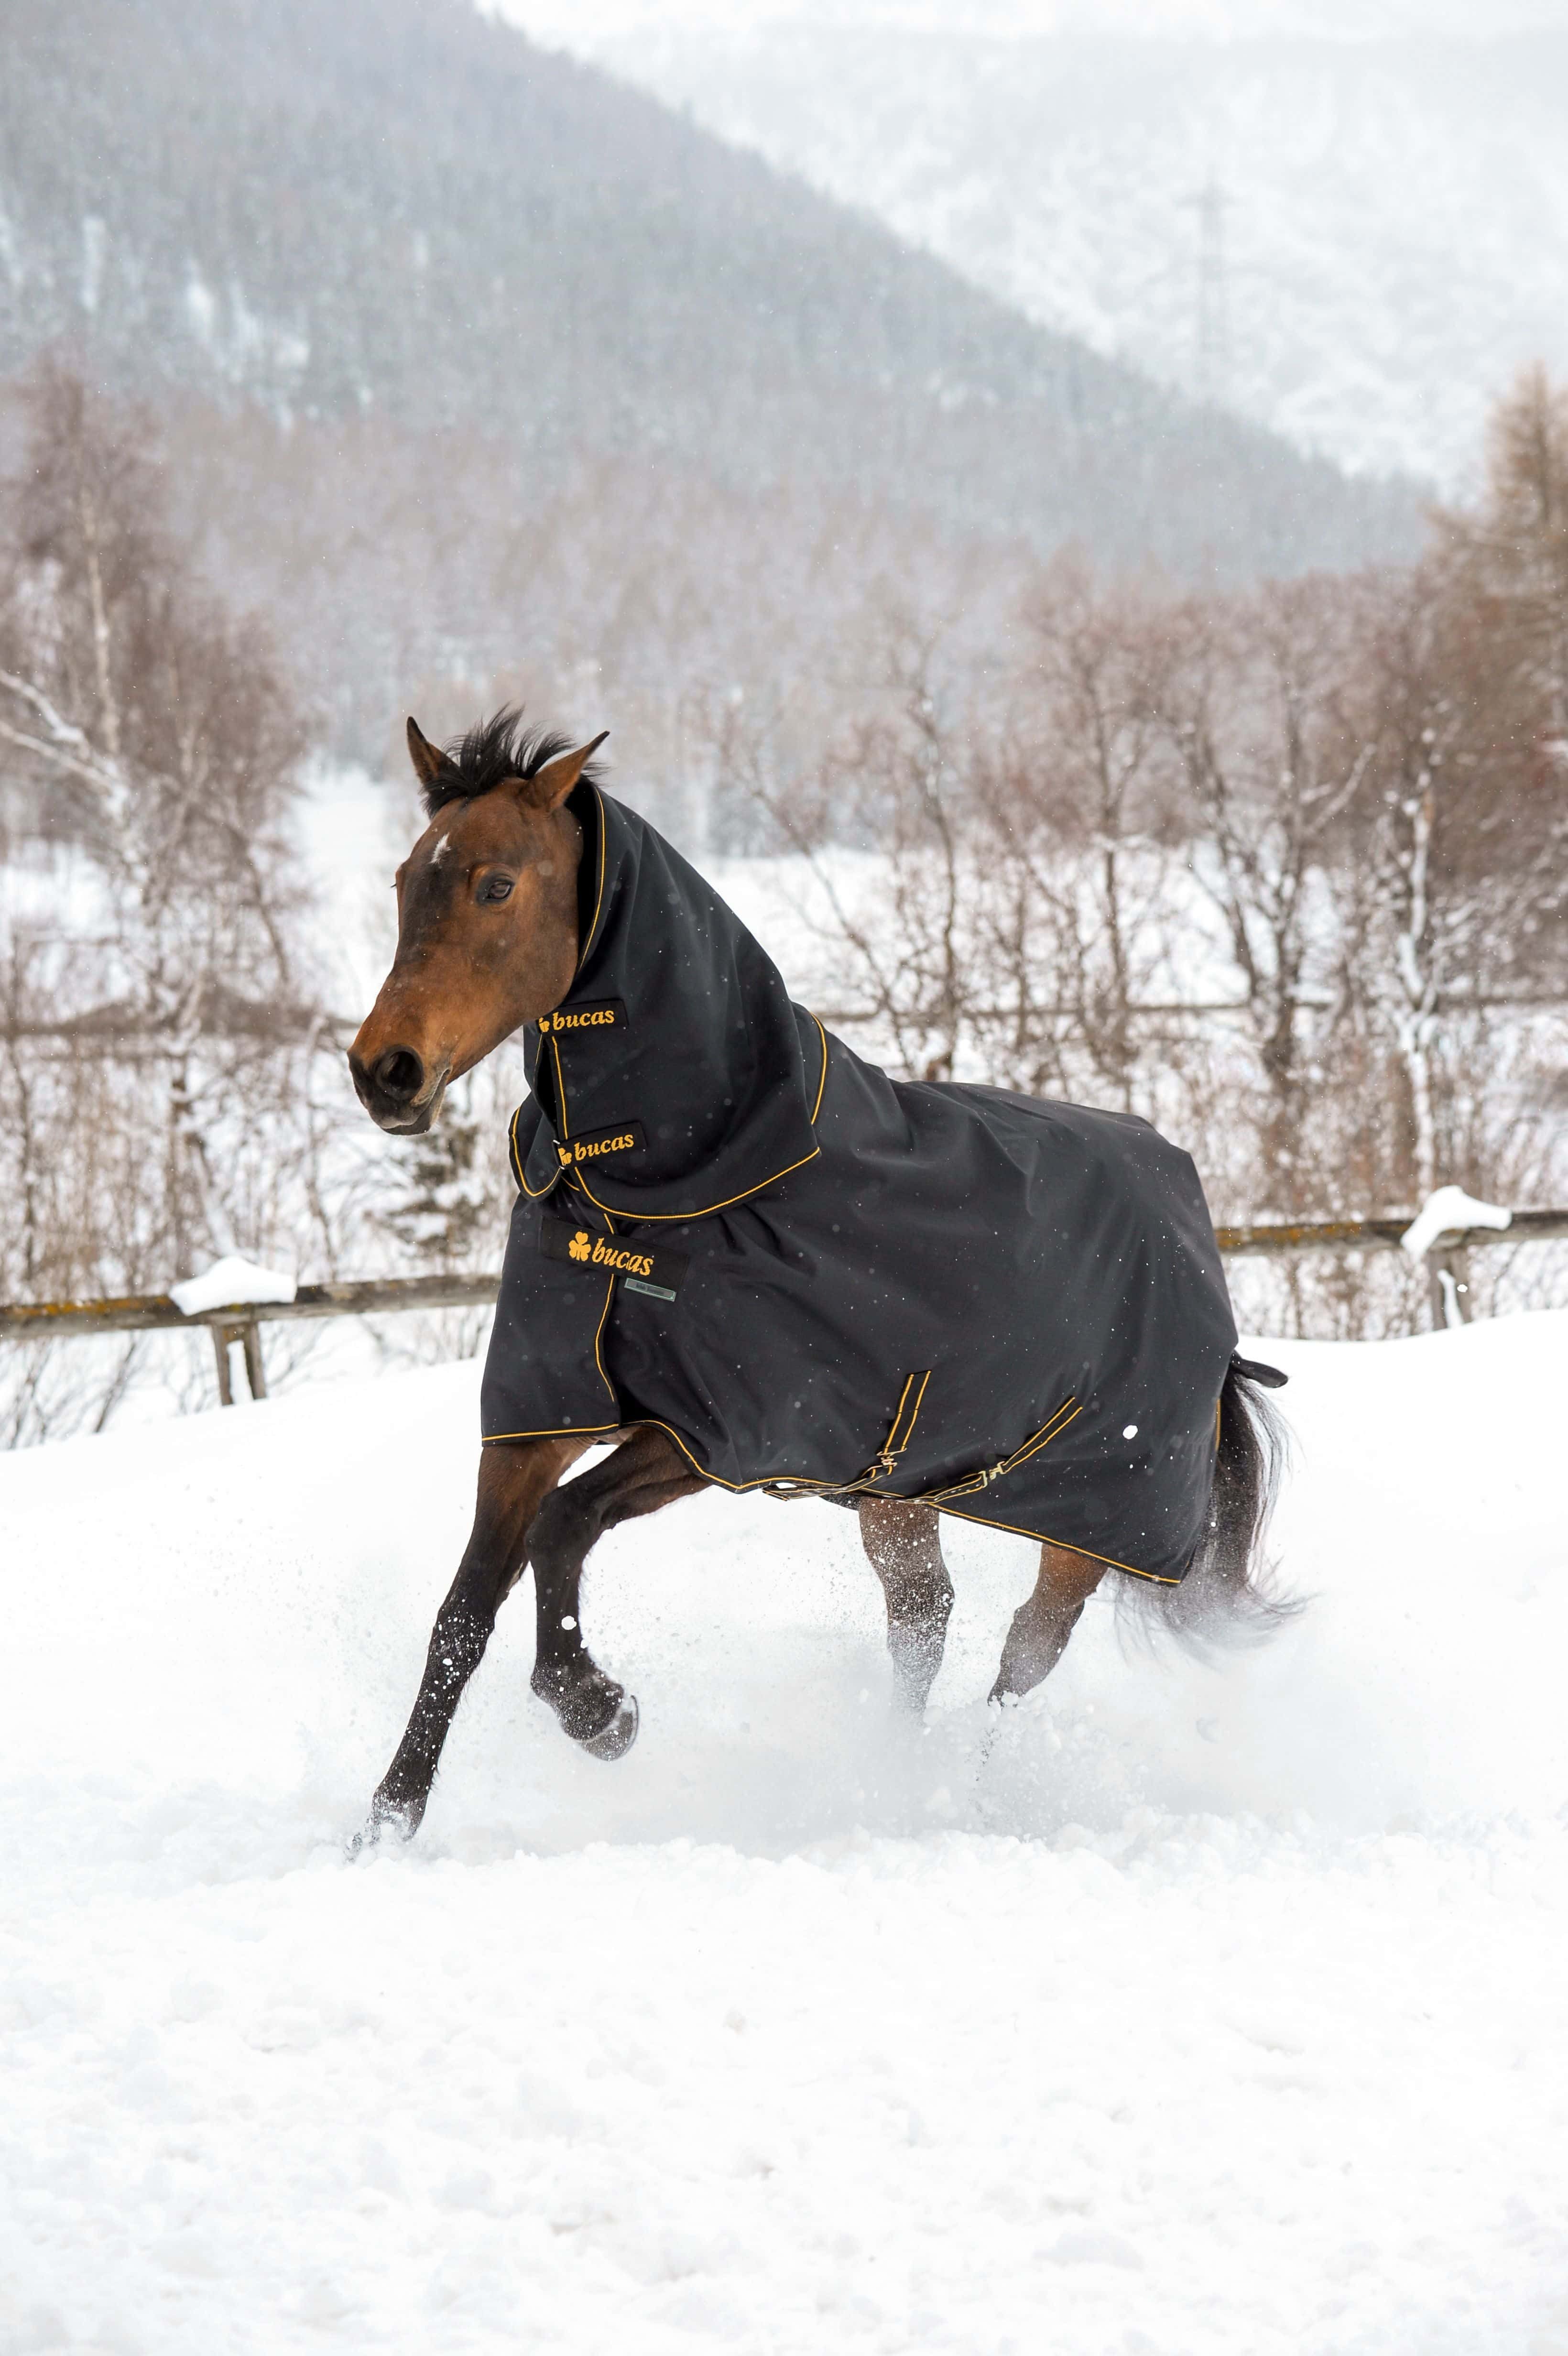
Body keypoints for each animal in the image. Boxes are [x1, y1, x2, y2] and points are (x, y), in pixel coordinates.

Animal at [348, 709, 1288, 1842]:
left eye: (496, 885)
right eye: (408, 879)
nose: (384, 1072)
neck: (664, 1187)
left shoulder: (717, 1430)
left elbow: (562, 1529)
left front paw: (600, 1712)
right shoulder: (540, 1414)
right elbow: (464, 1609)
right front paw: (386, 1823)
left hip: (1088, 1521)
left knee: (1023, 1654)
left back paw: (967, 1796)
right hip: (899, 1495)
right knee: (924, 1619)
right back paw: (891, 1777)